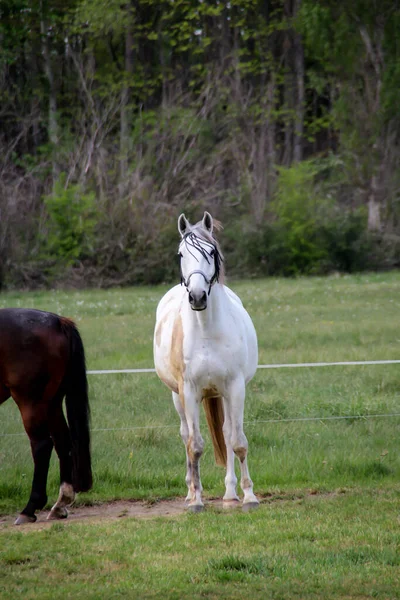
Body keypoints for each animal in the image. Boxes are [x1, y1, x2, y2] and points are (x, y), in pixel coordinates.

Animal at [0, 310, 91, 524]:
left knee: (42, 445)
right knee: (62, 442)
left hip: (30, 401)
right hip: (52, 402)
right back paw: (60, 504)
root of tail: (57, 321)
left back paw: (29, 509)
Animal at [153, 211, 260, 510]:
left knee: (225, 432)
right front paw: (197, 500)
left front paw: (249, 495)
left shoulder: (235, 388)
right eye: (180, 254)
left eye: (211, 252)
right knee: (185, 435)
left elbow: (237, 441)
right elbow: (195, 445)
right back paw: (190, 491)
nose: (198, 296)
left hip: (221, 393)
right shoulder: (188, 391)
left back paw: (230, 492)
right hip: (177, 397)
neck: (206, 331)